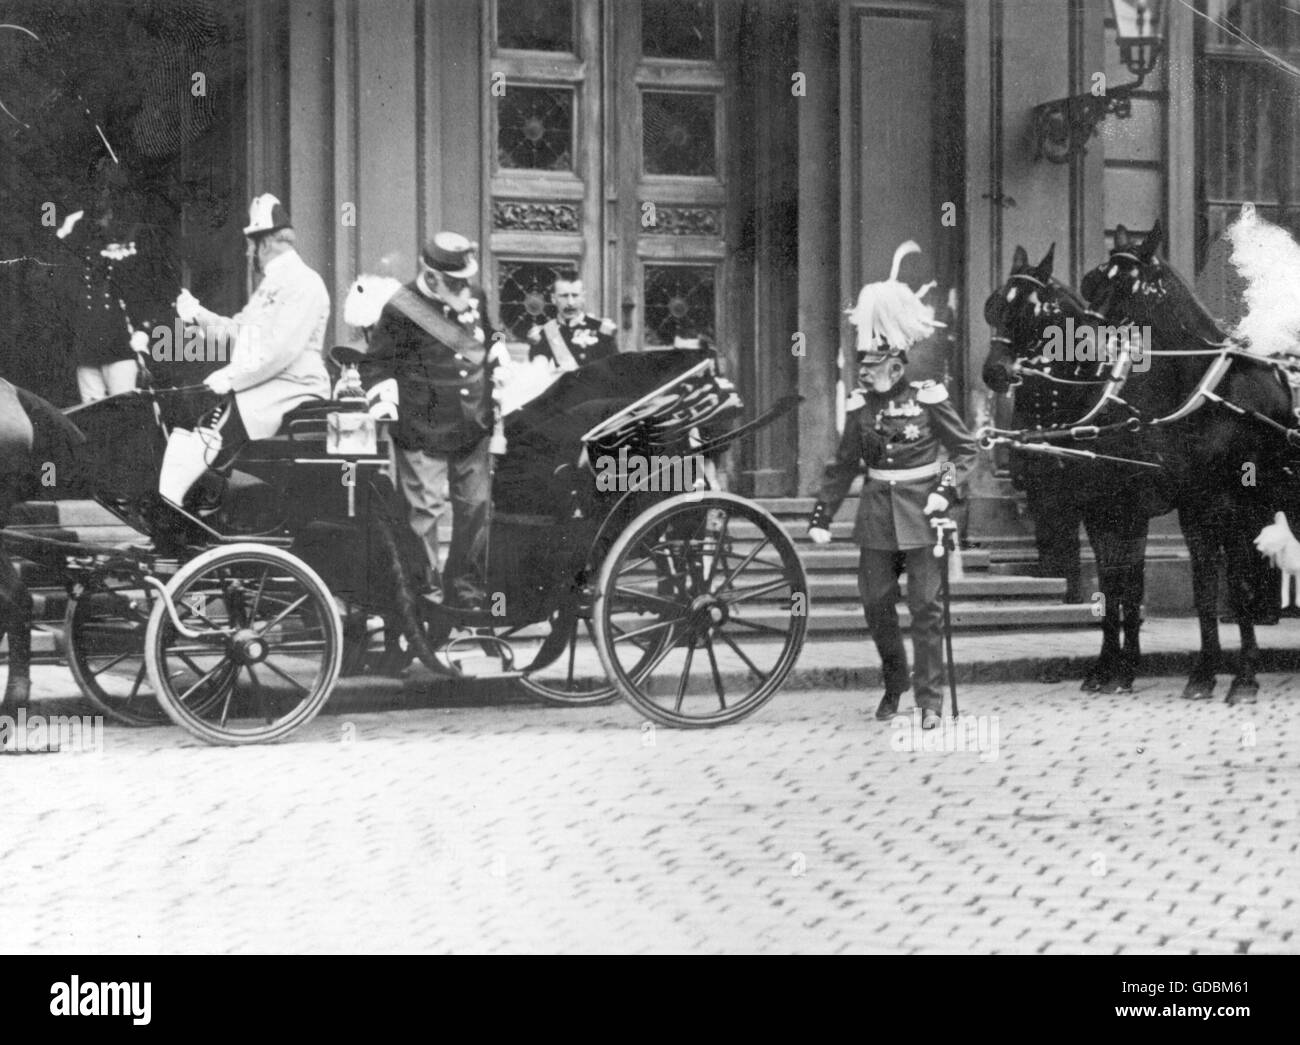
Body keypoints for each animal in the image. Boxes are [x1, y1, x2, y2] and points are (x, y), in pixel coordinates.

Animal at [982, 240, 1159, 691]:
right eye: (994, 305)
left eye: (1030, 310)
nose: (994, 373)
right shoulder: (1064, 500)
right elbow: (1104, 578)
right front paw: (1109, 665)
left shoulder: (1127, 509)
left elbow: (1128, 581)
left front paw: (1124, 666)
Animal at [1076, 224, 1289, 707]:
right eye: (1091, 281)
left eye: (1127, 286)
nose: (1084, 350)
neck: (1213, 395)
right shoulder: (1195, 507)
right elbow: (1204, 591)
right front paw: (1205, 674)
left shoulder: (1239, 507)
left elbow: (1239, 586)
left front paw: (1244, 678)